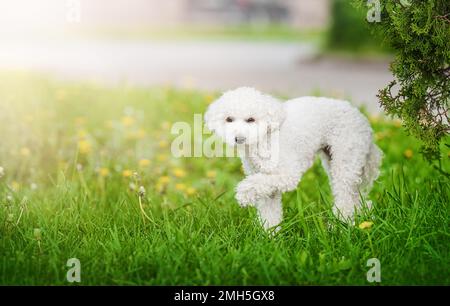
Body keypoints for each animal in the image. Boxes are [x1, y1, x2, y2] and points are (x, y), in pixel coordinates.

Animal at [205, 86, 384, 230]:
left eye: (251, 119)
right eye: (228, 119)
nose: (239, 138)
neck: (264, 138)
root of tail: (363, 119)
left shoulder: (286, 174)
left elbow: (255, 184)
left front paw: (244, 193)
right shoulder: (267, 185)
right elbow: (269, 210)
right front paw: (270, 236)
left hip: (346, 157)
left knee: (345, 197)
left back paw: (340, 226)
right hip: (334, 161)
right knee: (355, 197)